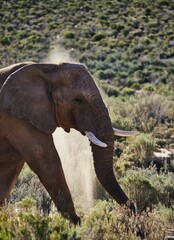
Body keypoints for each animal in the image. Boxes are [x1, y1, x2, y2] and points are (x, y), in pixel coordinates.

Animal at [0, 62, 139, 223]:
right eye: (77, 100)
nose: (132, 212)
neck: (48, 69)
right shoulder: (18, 117)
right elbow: (46, 160)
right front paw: (75, 223)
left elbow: (8, 172)